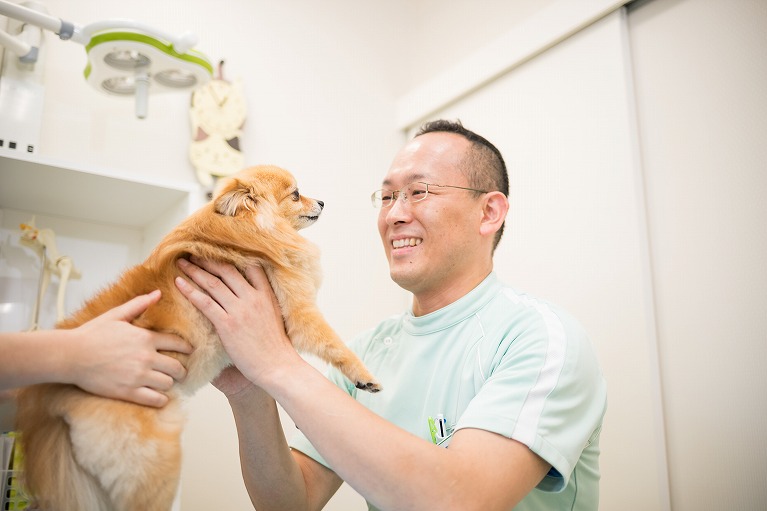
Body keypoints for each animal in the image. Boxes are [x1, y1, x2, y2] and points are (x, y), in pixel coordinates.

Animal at [15, 166, 380, 511]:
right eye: (296, 194)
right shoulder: (300, 313)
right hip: (158, 458)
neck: (252, 231)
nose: (322, 201)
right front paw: (365, 377)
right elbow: (335, 345)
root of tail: (54, 395)